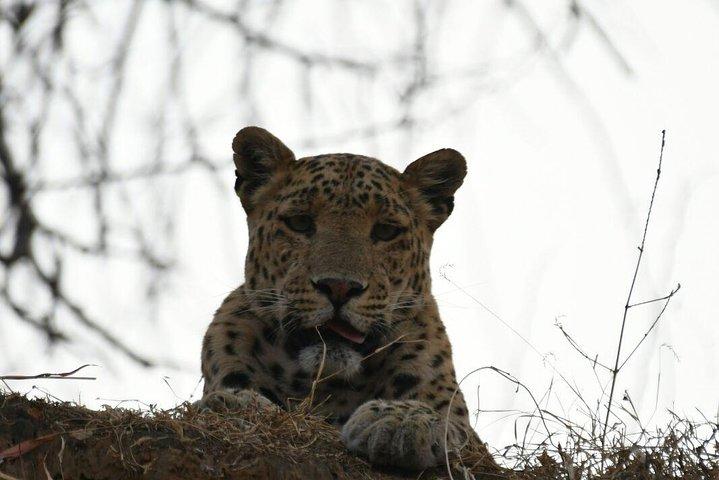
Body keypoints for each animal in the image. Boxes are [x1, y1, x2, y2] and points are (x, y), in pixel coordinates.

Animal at [199, 126, 492, 470]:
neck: (327, 387)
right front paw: (238, 401)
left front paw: (401, 420)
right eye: (300, 222)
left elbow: (448, 422)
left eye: (386, 231)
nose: (339, 286)